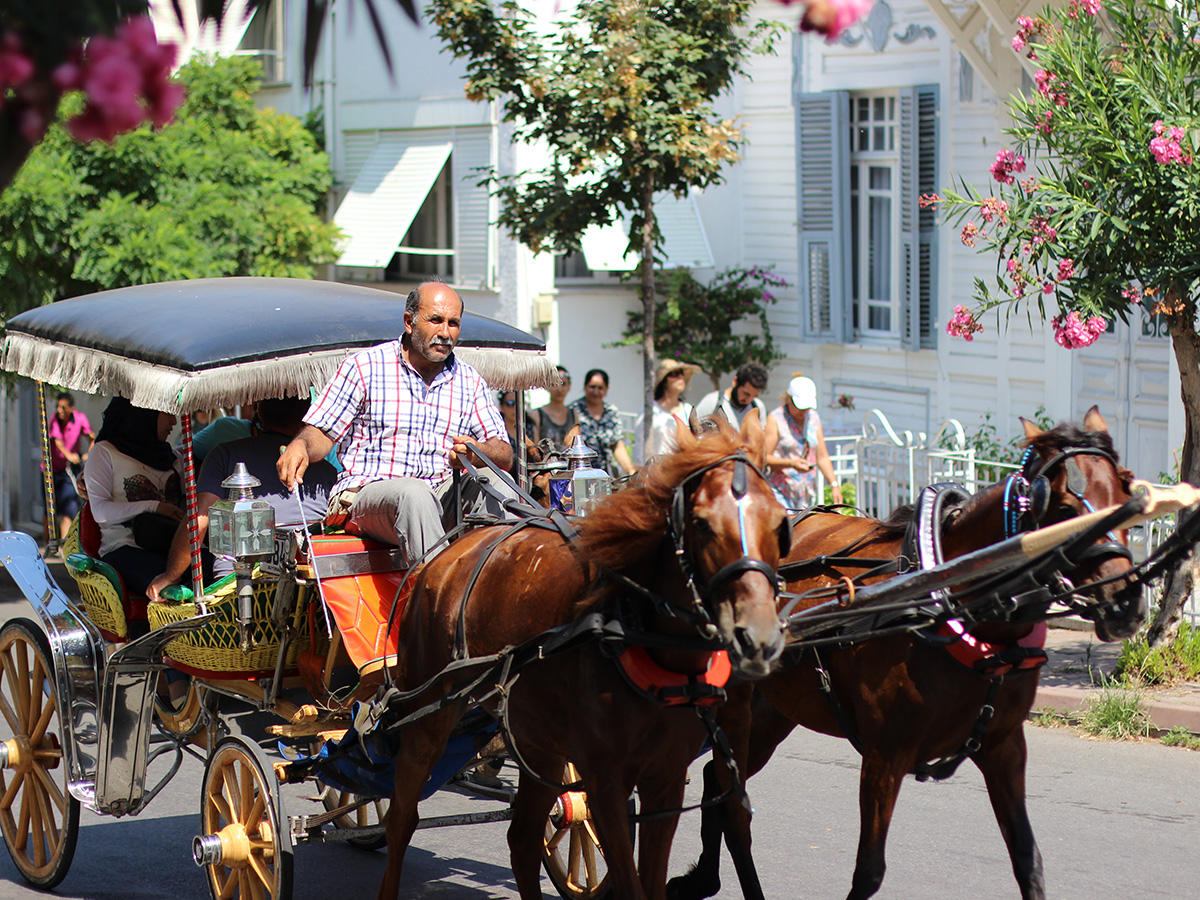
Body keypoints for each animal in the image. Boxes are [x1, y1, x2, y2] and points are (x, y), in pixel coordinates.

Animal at [374, 424, 787, 900]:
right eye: (701, 524)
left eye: (780, 523)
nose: (758, 636)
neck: (634, 632)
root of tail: (443, 556)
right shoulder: (604, 782)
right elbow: (631, 884)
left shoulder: (665, 779)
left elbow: (652, 879)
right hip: (427, 714)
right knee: (401, 817)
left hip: (536, 739)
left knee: (522, 839)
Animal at [672, 408, 1147, 900]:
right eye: (1065, 508)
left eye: (1125, 493)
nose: (1126, 601)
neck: (945, 599)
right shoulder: (886, 754)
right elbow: (868, 870)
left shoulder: (1004, 745)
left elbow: (1026, 858)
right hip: (739, 705)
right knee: (734, 808)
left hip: (776, 712)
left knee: (716, 783)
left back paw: (703, 877)